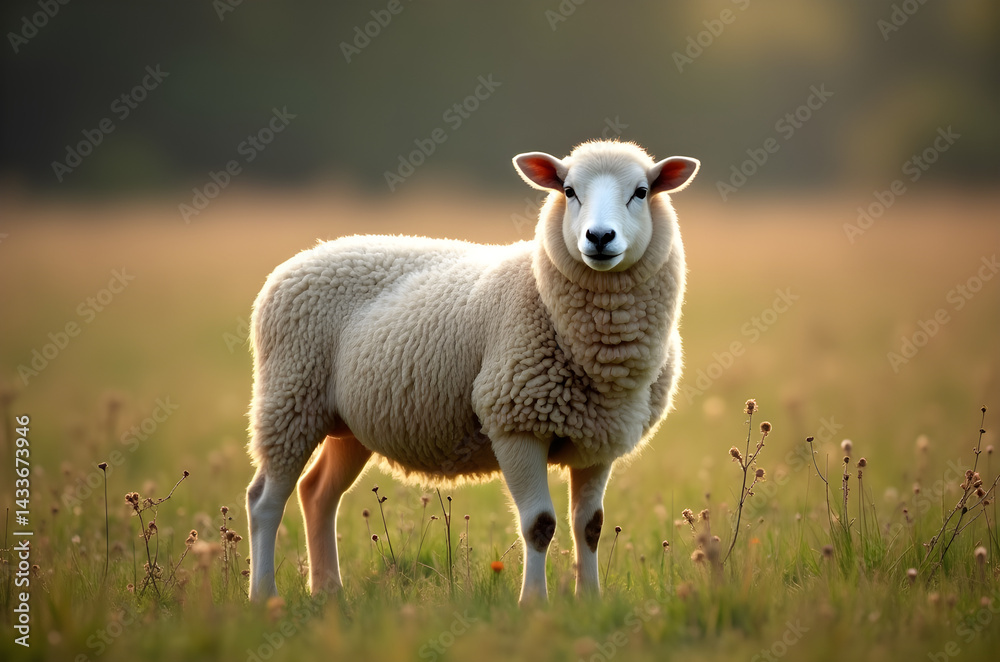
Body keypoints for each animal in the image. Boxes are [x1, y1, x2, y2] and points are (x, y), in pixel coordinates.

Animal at [245, 139, 699, 605]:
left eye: (641, 192)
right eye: (569, 191)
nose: (600, 237)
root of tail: (305, 255)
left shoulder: (599, 438)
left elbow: (589, 527)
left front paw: (589, 601)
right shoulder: (515, 422)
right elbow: (540, 525)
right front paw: (534, 603)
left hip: (349, 424)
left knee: (317, 493)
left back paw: (328, 592)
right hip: (289, 397)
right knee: (265, 500)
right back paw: (264, 595)